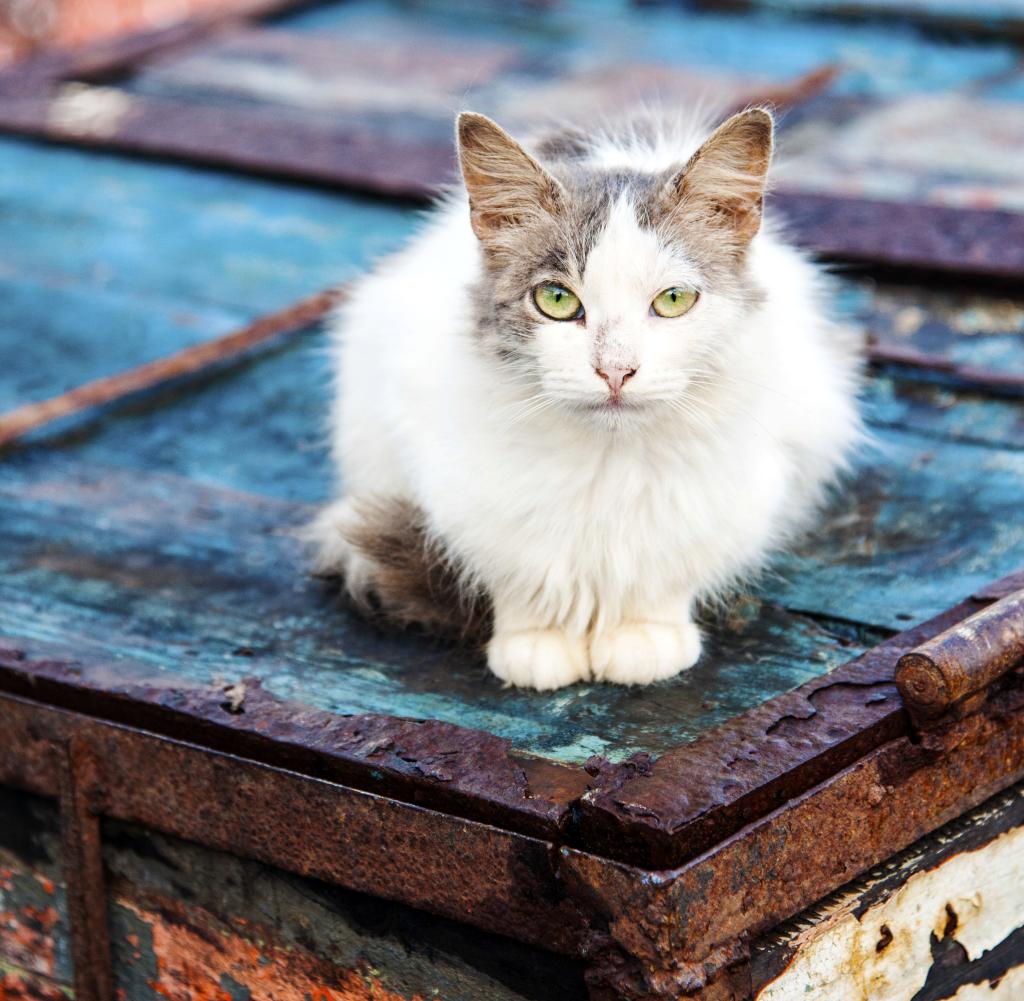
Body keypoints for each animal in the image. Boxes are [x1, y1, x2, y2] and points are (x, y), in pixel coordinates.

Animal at [307, 107, 860, 687]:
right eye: (555, 300)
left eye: (673, 300)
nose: (615, 370)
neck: (608, 462)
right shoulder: (471, 495)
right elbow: (524, 578)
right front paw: (537, 644)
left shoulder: (726, 495)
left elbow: (662, 577)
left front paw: (644, 639)